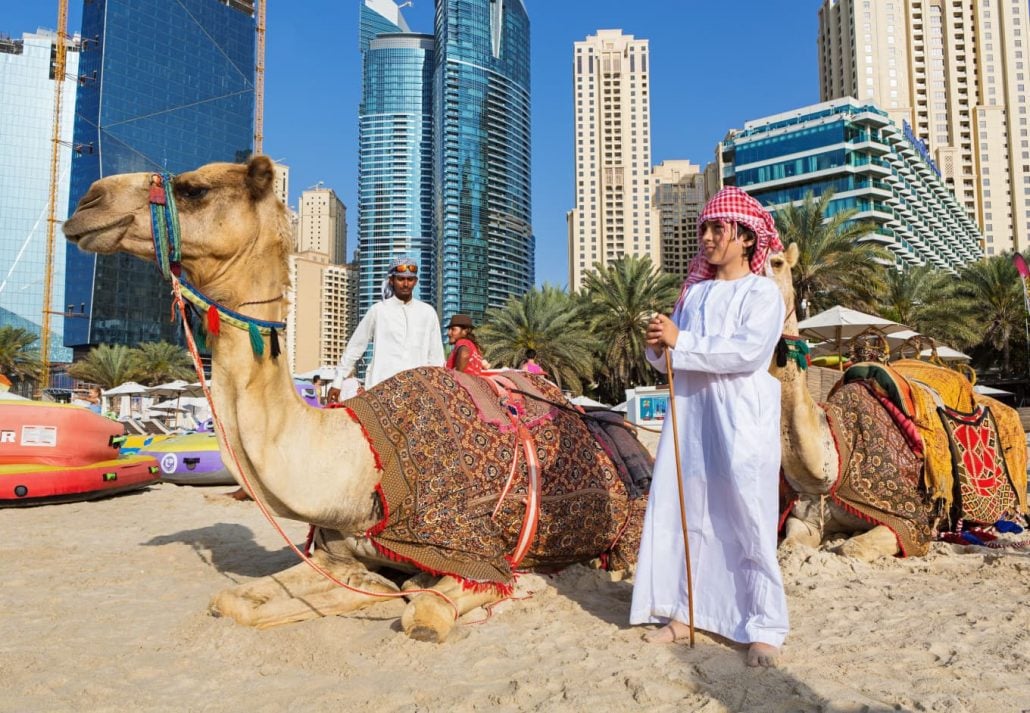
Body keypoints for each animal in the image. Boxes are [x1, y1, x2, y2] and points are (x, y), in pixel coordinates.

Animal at [60, 155, 642, 638]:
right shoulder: (336, 556)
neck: (362, 463)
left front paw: (412, 591)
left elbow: (424, 610)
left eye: (193, 188)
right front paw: (376, 585)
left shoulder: (474, 551)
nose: (87, 201)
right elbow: (232, 600)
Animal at [766, 245, 1021, 564]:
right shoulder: (804, 517)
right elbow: (787, 548)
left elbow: (852, 547)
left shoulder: (910, 521)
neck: (831, 461)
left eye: (776, 262)